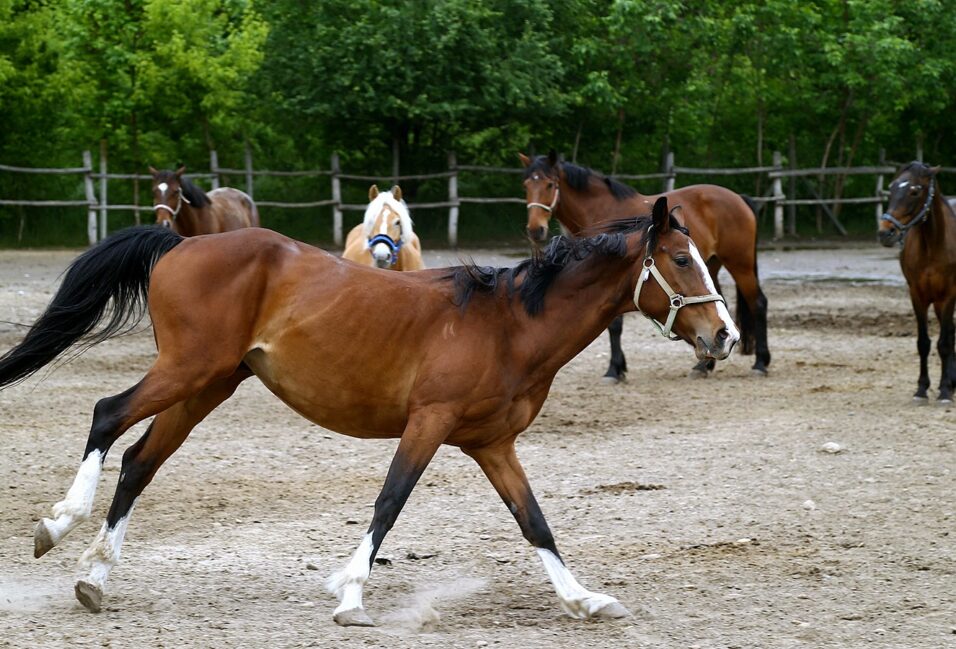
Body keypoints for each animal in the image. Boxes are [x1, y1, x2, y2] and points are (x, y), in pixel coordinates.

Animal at [0, 196, 740, 624]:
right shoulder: (429, 423)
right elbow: (390, 502)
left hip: (209, 384)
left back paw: (94, 577)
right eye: (681, 259)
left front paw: (584, 598)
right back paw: (57, 525)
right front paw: (351, 595)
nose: (725, 336)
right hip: (188, 369)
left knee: (139, 460)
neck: (510, 325)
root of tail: (183, 243)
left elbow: (535, 522)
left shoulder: (491, 444)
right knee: (106, 415)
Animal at [524, 151, 768, 384]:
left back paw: (761, 363)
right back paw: (703, 366)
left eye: (550, 184)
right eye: (526, 185)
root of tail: (739, 197)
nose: (535, 229)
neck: (599, 209)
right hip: (712, 266)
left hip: (740, 263)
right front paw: (619, 367)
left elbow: (614, 326)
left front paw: (614, 370)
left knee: (758, 303)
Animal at [880, 162, 956, 402]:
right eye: (892, 188)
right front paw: (922, 389)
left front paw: (944, 391)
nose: (885, 232)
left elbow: (944, 343)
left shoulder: (949, 295)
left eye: (914, 191)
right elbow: (923, 342)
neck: (933, 243)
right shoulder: (917, 295)